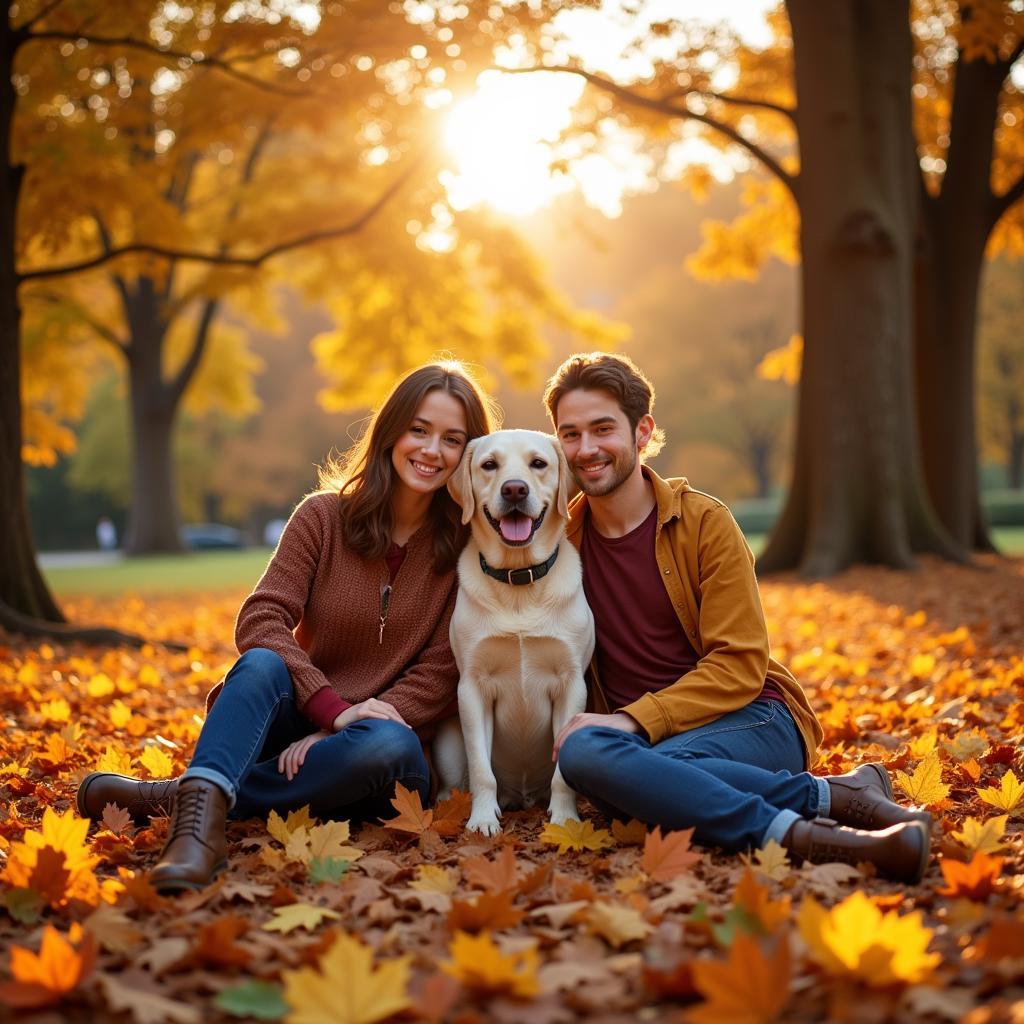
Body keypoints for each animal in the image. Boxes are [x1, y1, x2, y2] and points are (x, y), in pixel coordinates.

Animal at [436, 428, 598, 835]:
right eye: (489, 464)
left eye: (538, 463)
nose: (514, 490)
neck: (519, 578)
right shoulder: (472, 686)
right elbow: (481, 769)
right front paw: (481, 819)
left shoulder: (571, 682)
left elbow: (562, 774)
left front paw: (565, 819)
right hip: (448, 737)